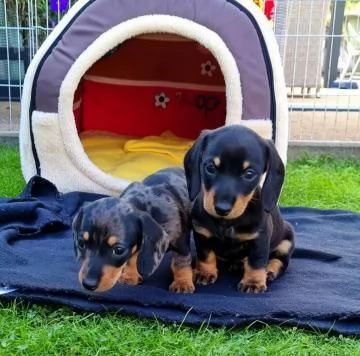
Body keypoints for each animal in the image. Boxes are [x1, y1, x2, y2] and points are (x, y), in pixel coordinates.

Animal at [186, 124, 296, 292]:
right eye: (210, 167)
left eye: (249, 174)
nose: (221, 209)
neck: (227, 223)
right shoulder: (202, 233)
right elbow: (205, 255)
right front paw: (204, 273)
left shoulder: (260, 239)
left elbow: (256, 262)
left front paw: (253, 282)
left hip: (287, 241)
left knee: (280, 261)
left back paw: (269, 271)